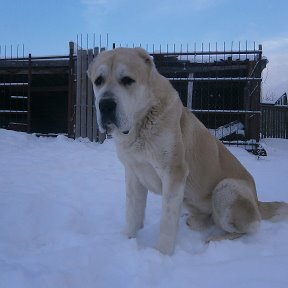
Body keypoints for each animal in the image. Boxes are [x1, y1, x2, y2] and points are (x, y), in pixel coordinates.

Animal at [87, 47, 288, 254]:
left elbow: (166, 222)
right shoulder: (134, 174)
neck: (141, 125)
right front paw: (129, 241)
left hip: (226, 188)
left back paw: (214, 239)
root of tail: (257, 201)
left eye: (127, 80)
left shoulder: (174, 173)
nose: (105, 105)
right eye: (98, 81)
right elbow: (133, 214)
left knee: (248, 228)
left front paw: (162, 254)